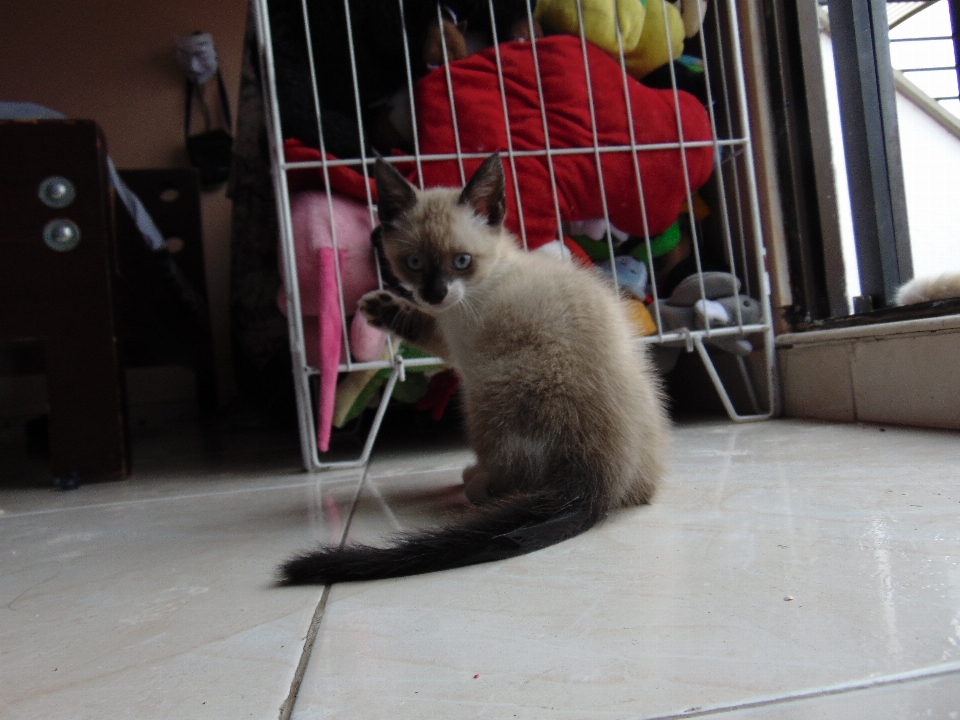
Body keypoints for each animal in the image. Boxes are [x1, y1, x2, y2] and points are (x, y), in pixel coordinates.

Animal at [278, 153, 668, 584]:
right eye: (414, 263)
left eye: (461, 261)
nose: (435, 292)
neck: (493, 271)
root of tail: (598, 480)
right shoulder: (446, 319)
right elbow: (423, 317)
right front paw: (385, 306)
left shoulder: (455, 337)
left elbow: (422, 324)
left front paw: (379, 307)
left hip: (482, 394)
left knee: (512, 477)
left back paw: (477, 482)